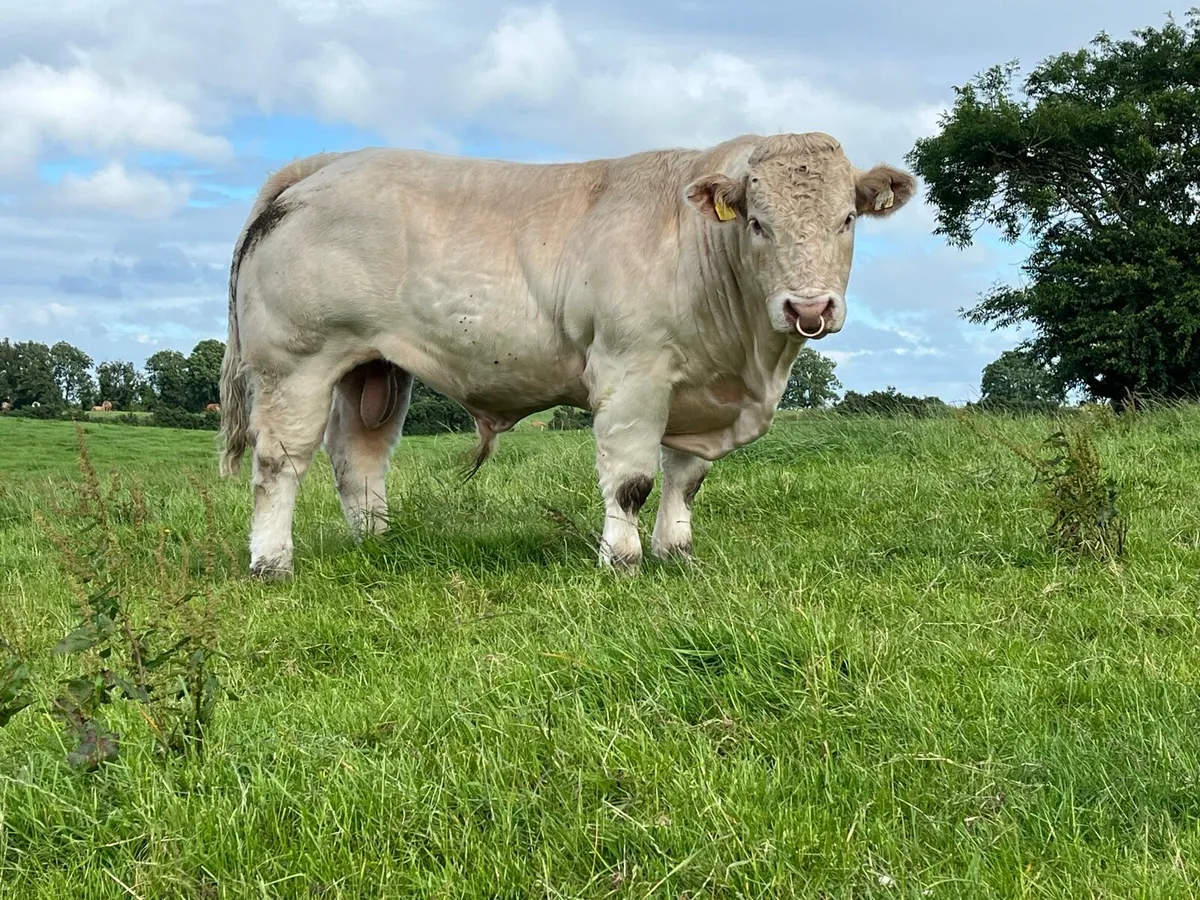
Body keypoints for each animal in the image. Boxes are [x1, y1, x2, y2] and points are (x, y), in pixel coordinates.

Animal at [218, 132, 917, 579]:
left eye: (847, 218)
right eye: (756, 223)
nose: (808, 307)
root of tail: (327, 162)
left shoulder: (699, 395)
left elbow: (685, 481)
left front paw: (677, 554)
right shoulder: (632, 373)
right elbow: (632, 480)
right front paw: (622, 561)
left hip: (372, 367)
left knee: (357, 456)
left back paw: (375, 544)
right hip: (295, 362)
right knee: (279, 461)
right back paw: (272, 562)